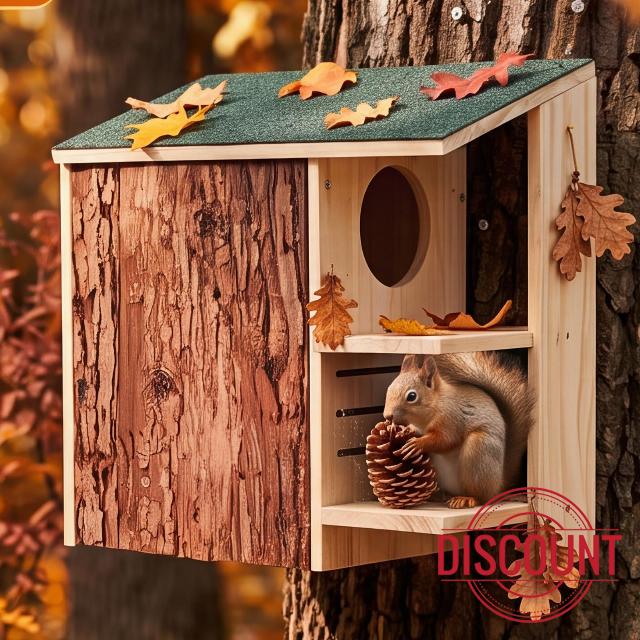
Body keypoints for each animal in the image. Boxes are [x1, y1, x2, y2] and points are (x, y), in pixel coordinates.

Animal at [383, 352, 534, 509]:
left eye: (412, 396)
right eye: (389, 389)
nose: (387, 416)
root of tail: (499, 484)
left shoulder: (451, 418)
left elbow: (445, 440)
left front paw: (417, 444)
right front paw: (402, 429)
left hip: (478, 449)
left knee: (482, 496)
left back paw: (467, 499)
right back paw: (438, 496)